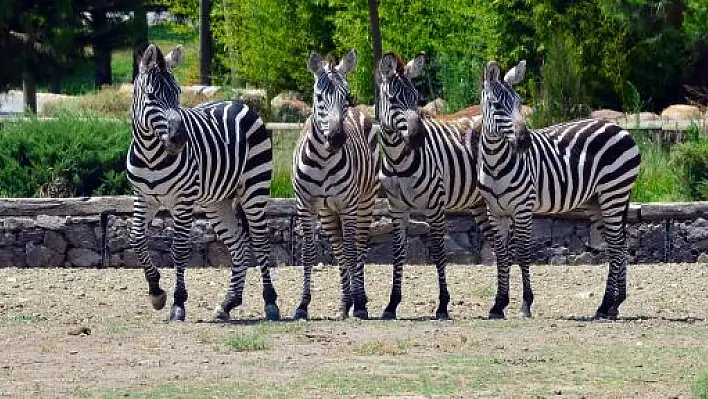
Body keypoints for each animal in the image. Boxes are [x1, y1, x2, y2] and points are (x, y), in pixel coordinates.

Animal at [127, 43, 280, 324]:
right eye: (152, 96)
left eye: (177, 93)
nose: (179, 139)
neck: (151, 155)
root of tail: (237, 102)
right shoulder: (143, 197)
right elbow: (136, 240)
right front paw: (156, 292)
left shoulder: (183, 200)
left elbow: (179, 249)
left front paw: (178, 303)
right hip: (216, 202)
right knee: (239, 245)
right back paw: (228, 303)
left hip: (255, 188)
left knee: (260, 241)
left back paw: (270, 303)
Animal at [294, 50, 382, 320]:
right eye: (319, 97)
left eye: (347, 95)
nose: (336, 138)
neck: (323, 160)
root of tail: (358, 111)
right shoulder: (305, 206)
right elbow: (308, 253)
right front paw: (302, 305)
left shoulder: (348, 205)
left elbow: (353, 251)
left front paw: (360, 304)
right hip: (327, 213)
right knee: (340, 248)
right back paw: (345, 302)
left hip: (365, 202)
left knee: (359, 246)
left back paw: (359, 298)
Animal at [376, 52, 492, 322]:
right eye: (393, 99)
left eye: (417, 98)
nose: (418, 137)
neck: (398, 160)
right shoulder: (397, 208)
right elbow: (398, 252)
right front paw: (391, 305)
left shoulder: (435, 206)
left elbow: (439, 251)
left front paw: (442, 305)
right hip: (479, 203)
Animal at [478, 60, 640, 322]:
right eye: (496, 105)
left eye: (519, 103)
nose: (524, 142)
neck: (495, 164)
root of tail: (620, 128)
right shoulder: (495, 212)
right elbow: (501, 256)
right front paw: (498, 305)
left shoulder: (523, 209)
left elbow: (523, 253)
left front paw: (526, 304)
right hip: (597, 201)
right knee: (619, 244)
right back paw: (614, 305)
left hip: (613, 193)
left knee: (616, 246)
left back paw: (606, 305)